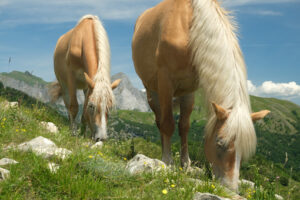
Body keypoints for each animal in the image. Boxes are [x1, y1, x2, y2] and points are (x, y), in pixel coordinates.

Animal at [131, 0, 270, 191]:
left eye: (244, 150)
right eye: (219, 143)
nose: (231, 188)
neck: (189, 27)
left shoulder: (189, 89)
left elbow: (184, 127)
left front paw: (185, 164)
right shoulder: (165, 80)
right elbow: (168, 124)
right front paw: (168, 162)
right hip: (152, 90)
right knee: (160, 121)